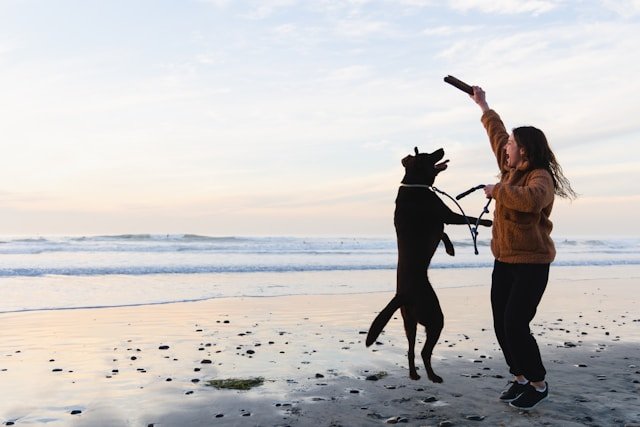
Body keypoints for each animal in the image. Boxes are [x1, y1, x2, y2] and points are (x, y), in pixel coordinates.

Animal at [368, 148, 492, 384]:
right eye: (427, 155)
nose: (442, 149)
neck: (414, 184)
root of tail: (401, 295)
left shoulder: (440, 222)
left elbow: (443, 234)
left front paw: (450, 248)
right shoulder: (446, 214)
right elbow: (468, 218)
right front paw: (488, 222)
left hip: (409, 321)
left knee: (411, 350)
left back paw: (414, 374)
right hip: (434, 317)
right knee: (425, 351)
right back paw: (433, 376)